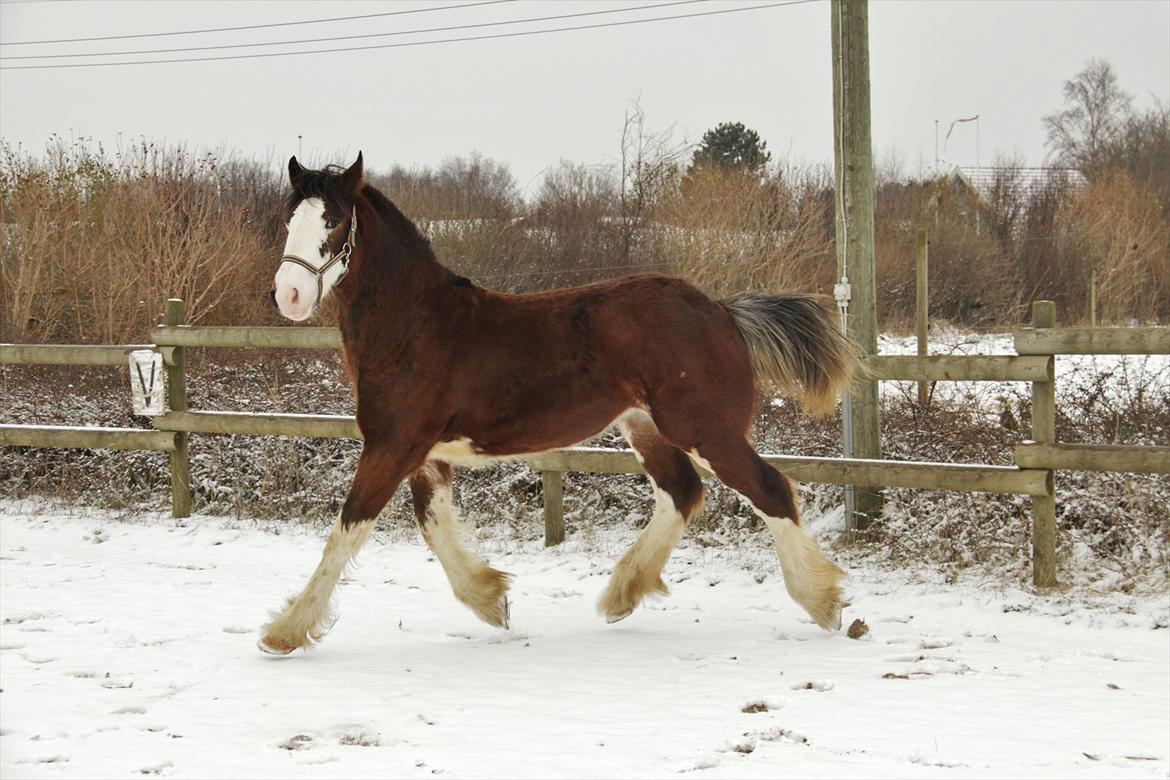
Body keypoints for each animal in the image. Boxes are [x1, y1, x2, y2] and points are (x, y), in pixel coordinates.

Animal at [258, 150, 861, 654]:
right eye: (289, 219)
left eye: (333, 221)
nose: (288, 295)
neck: (415, 326)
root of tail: (720, 311)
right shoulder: (424, 454)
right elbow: (434, 526)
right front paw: (491, 601)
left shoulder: (392, 446)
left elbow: (346, 530)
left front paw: (285, 632)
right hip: (645, 426)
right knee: (682, 492)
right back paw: (622, 594)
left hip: (705, 429)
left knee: (770, 489)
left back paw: (826, 603)